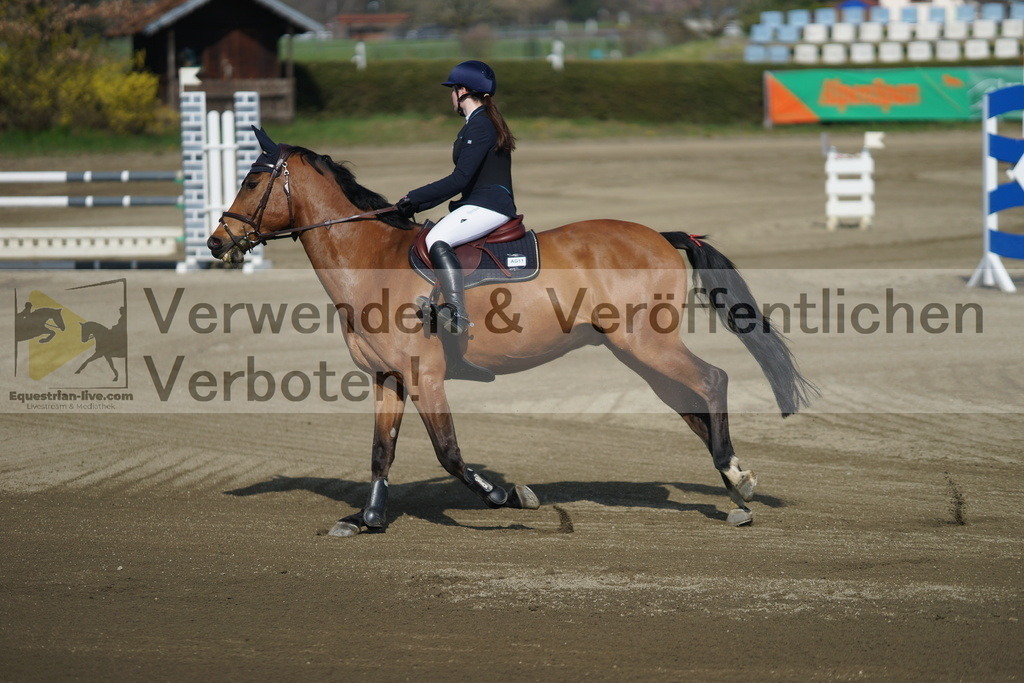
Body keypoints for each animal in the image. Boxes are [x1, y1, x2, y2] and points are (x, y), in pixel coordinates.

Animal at [207, 127, 815, 532]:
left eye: (253, 178)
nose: (217, 242)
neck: (370, 259)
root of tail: (662, 236)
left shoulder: (425, 376)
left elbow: (449, 452)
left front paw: (508, 497)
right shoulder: (387, 378)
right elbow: (382, 451)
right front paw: (369, 520)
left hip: (648, 343)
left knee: (712, 382)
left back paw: (734, 479)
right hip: (636, 352)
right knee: (692, 405)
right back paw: (736, 486)